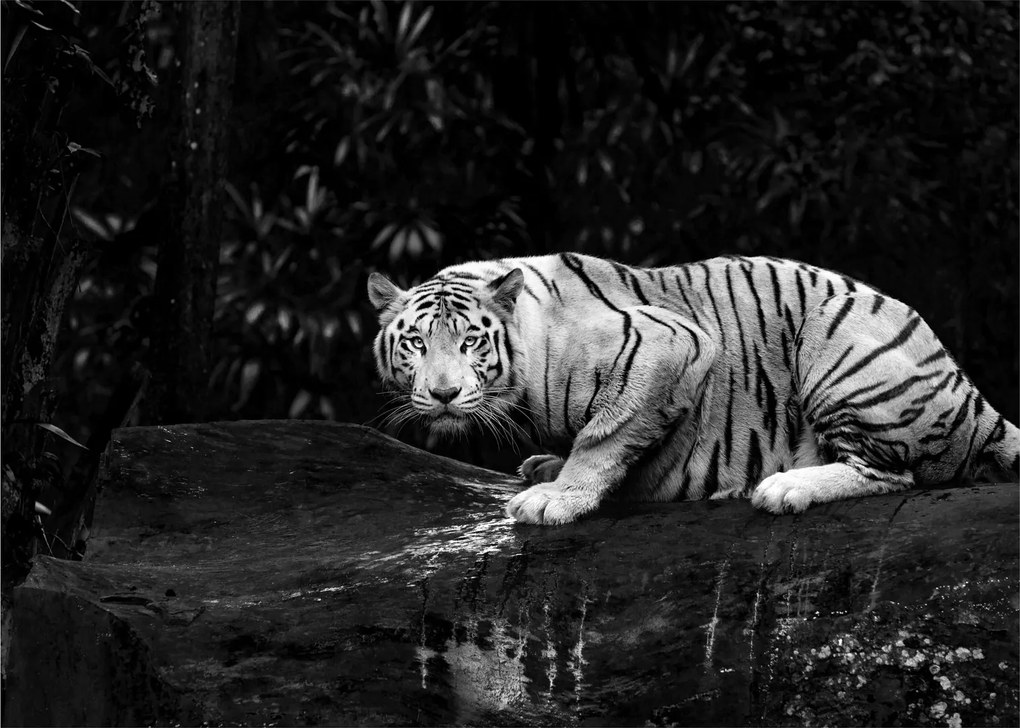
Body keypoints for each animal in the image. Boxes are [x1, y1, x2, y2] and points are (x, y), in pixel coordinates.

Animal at [368, 253, 1019, 525]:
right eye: (416, 343)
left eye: (471, 343)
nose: (444, 394)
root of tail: (970, 395)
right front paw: (546, 469)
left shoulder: (669, 344)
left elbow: (605, 434)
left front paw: (557, 497)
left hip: (839, 345)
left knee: (894, 473)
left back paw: (784, 487)